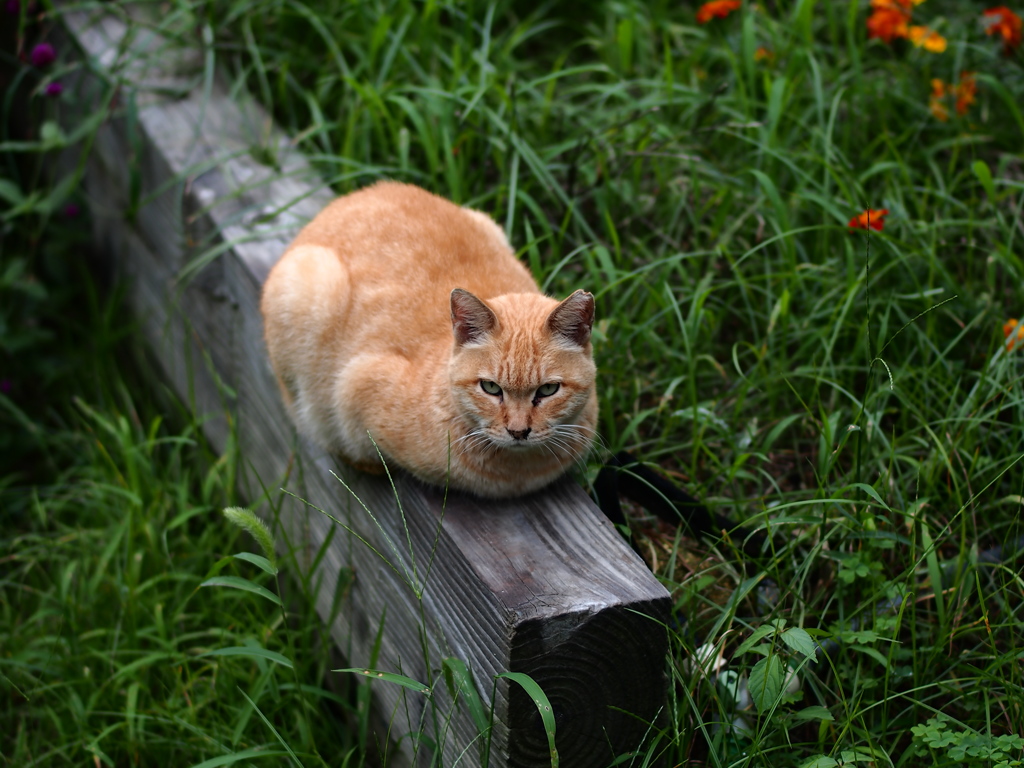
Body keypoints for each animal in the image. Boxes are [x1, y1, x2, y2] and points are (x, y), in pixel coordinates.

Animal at [260, 184, 598, 501]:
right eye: (490, 388)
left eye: (548, 390)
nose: (518, 431)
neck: (516, 476)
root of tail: (354, 196)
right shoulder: (354, 389)